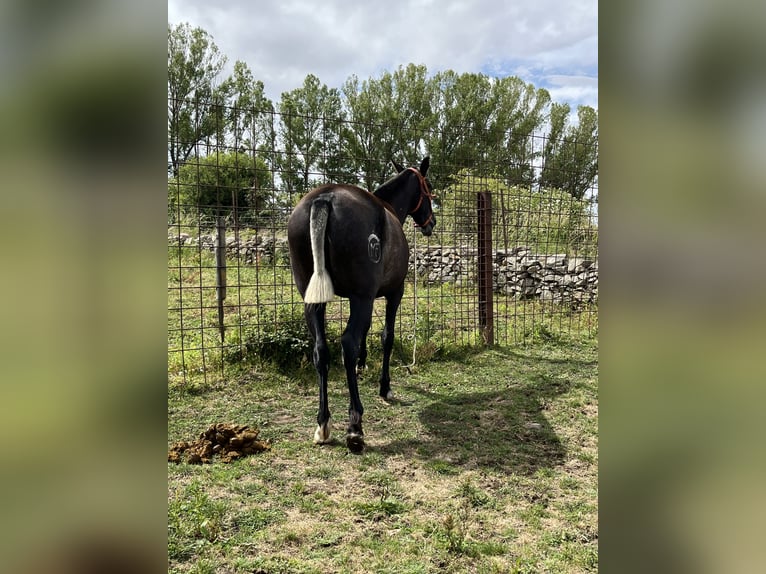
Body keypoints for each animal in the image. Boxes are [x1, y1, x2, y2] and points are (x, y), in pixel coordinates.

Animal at [286, 158, 436, 454]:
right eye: (428, 187)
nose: (431, 223)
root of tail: (324, 199)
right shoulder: (392, 293)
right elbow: (386, 337)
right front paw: (385, 386)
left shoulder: (363, 298)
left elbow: (365, 334)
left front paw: (362, 364)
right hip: (361, 297)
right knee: (347, 344)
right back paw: (355, 426)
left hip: (315, 300)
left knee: (321, 350)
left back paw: (323, 423)